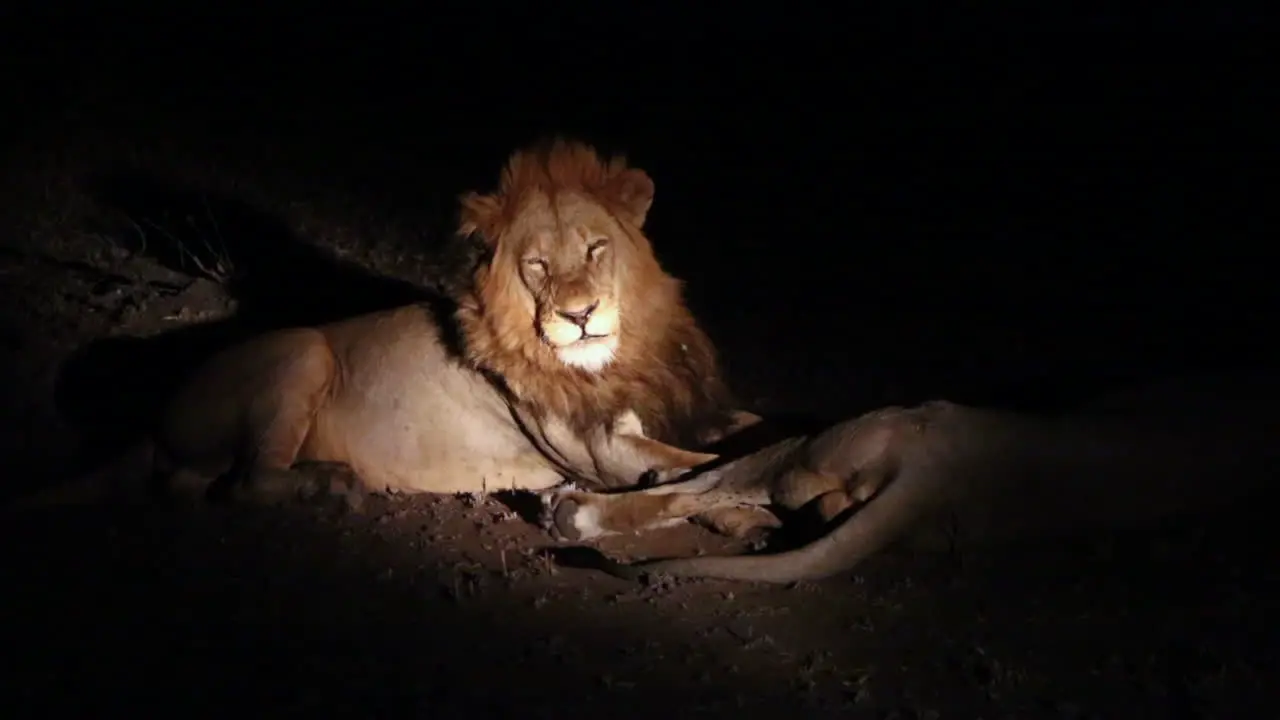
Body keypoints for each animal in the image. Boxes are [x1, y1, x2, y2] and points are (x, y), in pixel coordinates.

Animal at [15, 140, 752, 507]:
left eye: (597, 249)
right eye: (538, 266)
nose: (579, 315)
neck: (618, 354)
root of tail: (155, 418)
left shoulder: (677, 406)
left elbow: (745, 430)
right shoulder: (602, 453)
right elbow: (708, 461)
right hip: (303, 350)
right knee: (246, 486)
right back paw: (331, 485)